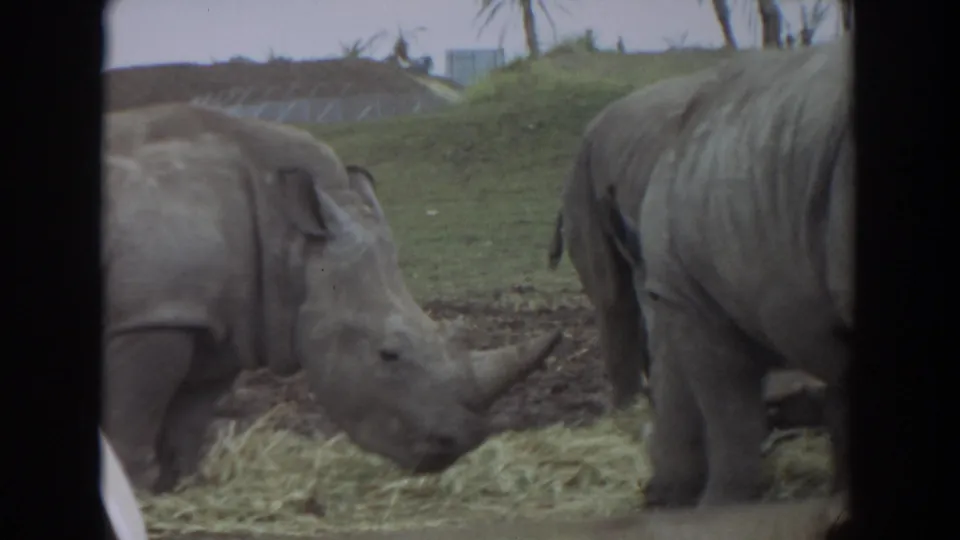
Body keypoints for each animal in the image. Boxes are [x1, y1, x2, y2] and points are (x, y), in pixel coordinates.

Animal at [102, 104, 561, 493]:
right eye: (388, 355)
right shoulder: (154, 313)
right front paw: (137, 493)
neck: (293, 243)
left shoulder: (215, 321)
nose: (454, 446)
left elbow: (187, 423)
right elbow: (131, 423)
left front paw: (180, 490)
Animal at [610, 39, 854, 507]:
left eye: (652, 399)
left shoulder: (687, 302)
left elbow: (727, 409)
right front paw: (840, 492)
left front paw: (718, 502)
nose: (649, 493)